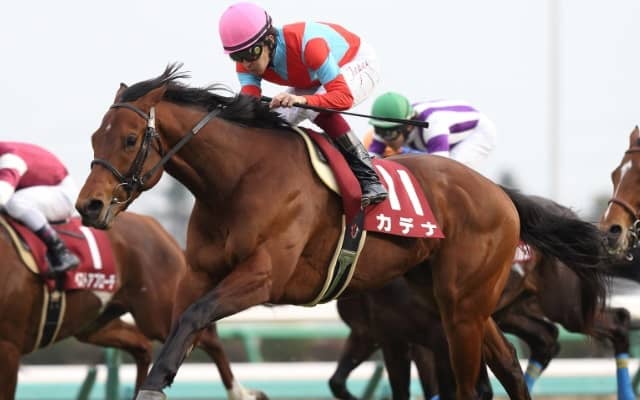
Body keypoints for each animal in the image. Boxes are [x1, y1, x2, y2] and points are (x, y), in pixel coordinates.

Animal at [0, 211, 265, 400]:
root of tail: (156, 226)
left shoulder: (9, 347)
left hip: (157, 313)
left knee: (205, 337)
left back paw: (243, 394)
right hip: (95, 323)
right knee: (142, 345)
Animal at [331, 196, 631, 400]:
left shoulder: (433, 337)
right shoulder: (377, 334)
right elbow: (338, 381)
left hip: (567, 305)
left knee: (618, 321)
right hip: (512, 311)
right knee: (545, 338)